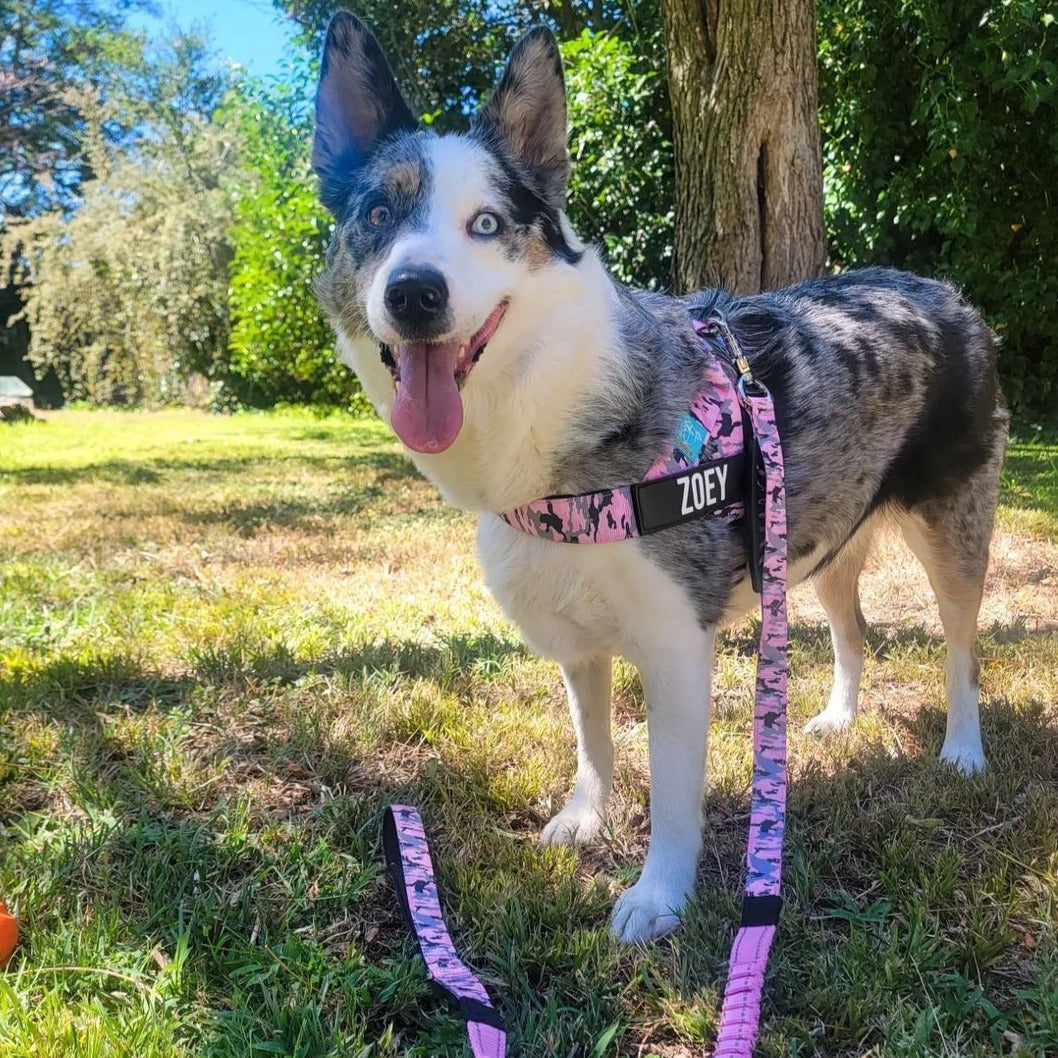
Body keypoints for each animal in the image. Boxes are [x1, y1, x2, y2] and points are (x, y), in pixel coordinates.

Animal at [308, 10, 1007, 943]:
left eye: (486, 224)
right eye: (379, 213)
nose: (414, 294)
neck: (558, 403)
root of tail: (945, 292)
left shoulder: (677, 648)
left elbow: (674, 792)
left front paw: (657, 895)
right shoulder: (577, 640)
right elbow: (593, 741)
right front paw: (585, 817)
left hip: (953, 531)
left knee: (963, 647)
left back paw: (962, 749)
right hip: (817, 537)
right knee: (853, 630)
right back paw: (837, 718)